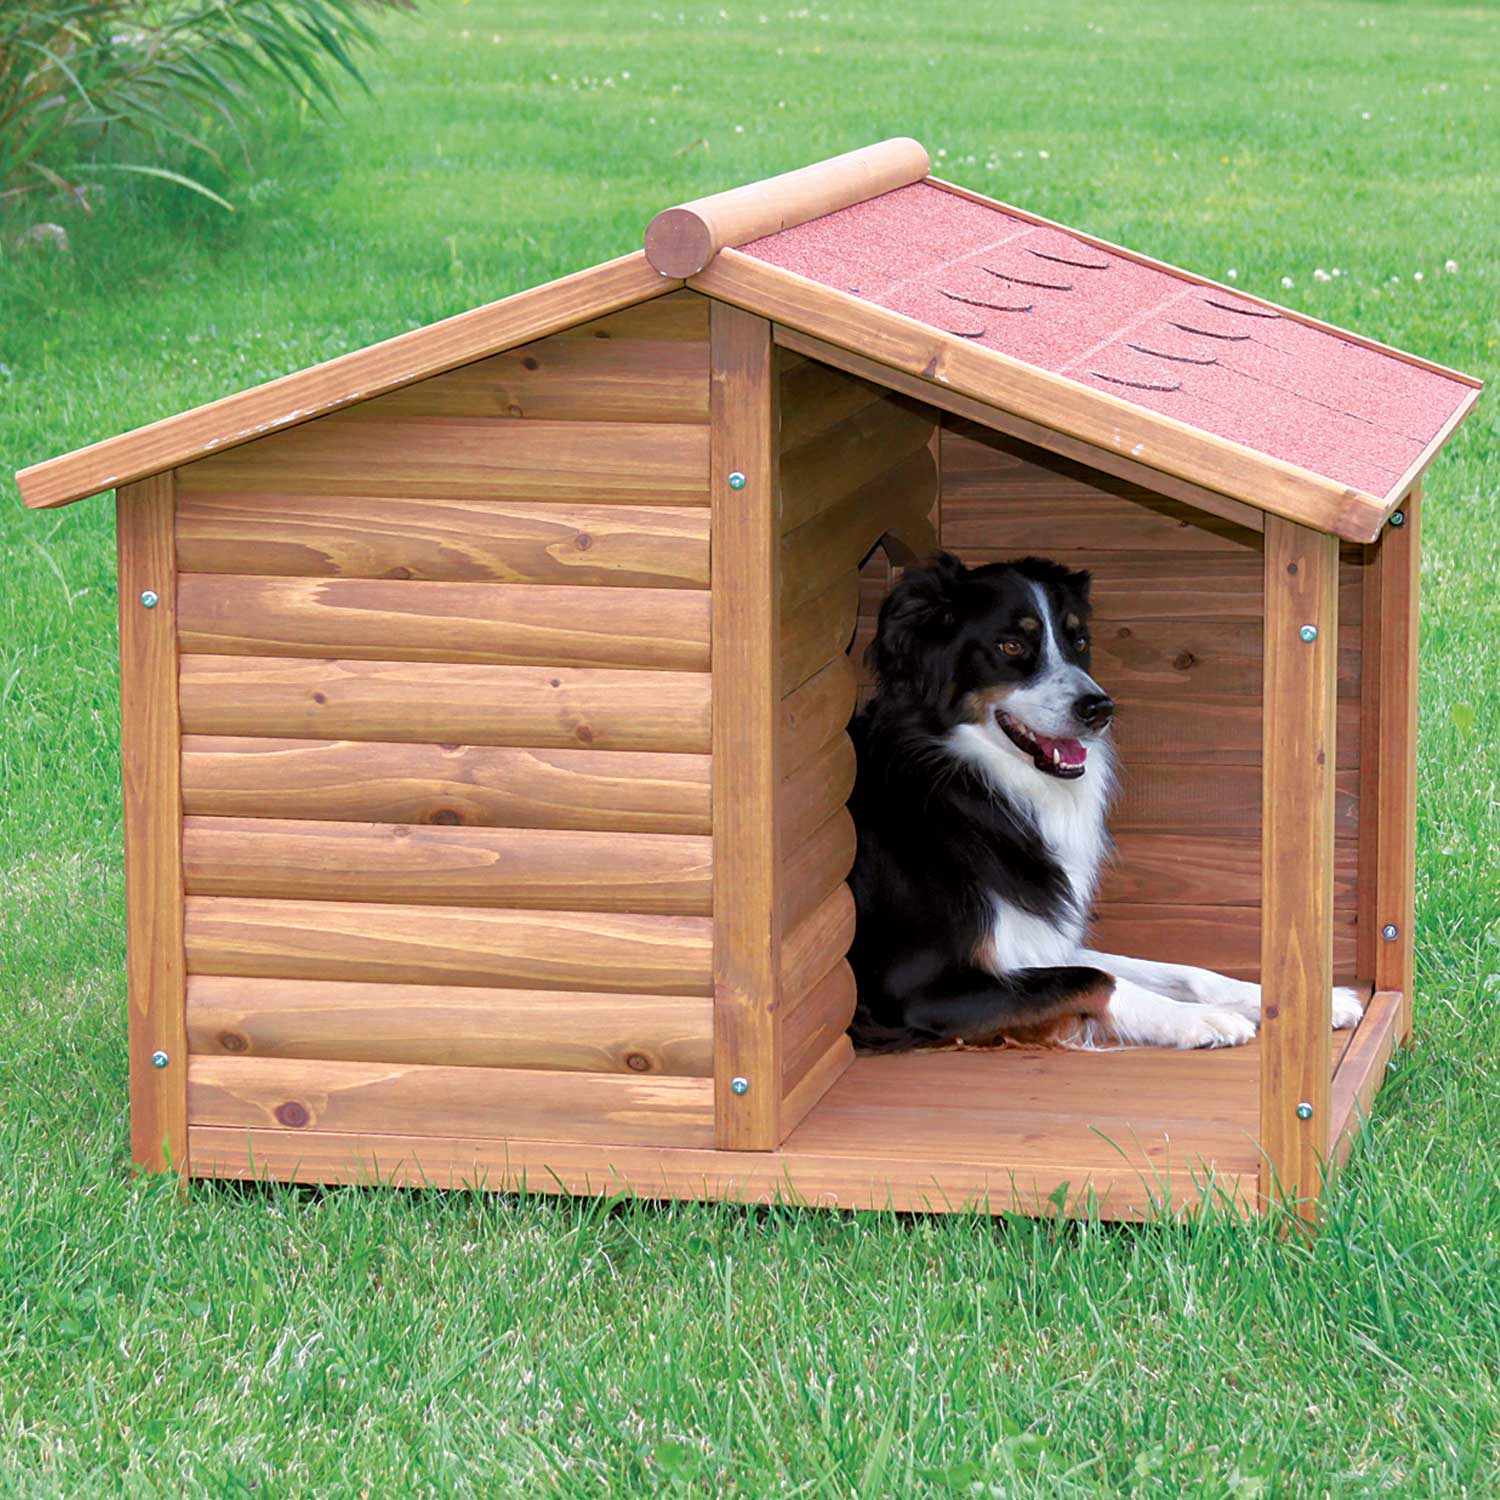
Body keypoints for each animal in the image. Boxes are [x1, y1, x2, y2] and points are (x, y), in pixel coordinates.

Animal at [846, 552, 1362, 1056]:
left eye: (1078, 641)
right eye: (1010, 647)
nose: (1099, 709)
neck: (964, 777)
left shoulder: (1036, 943)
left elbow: (1174, 970)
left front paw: (1309, 1000)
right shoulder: (919, 992)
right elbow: (1095, 978)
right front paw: (1196, 1020)